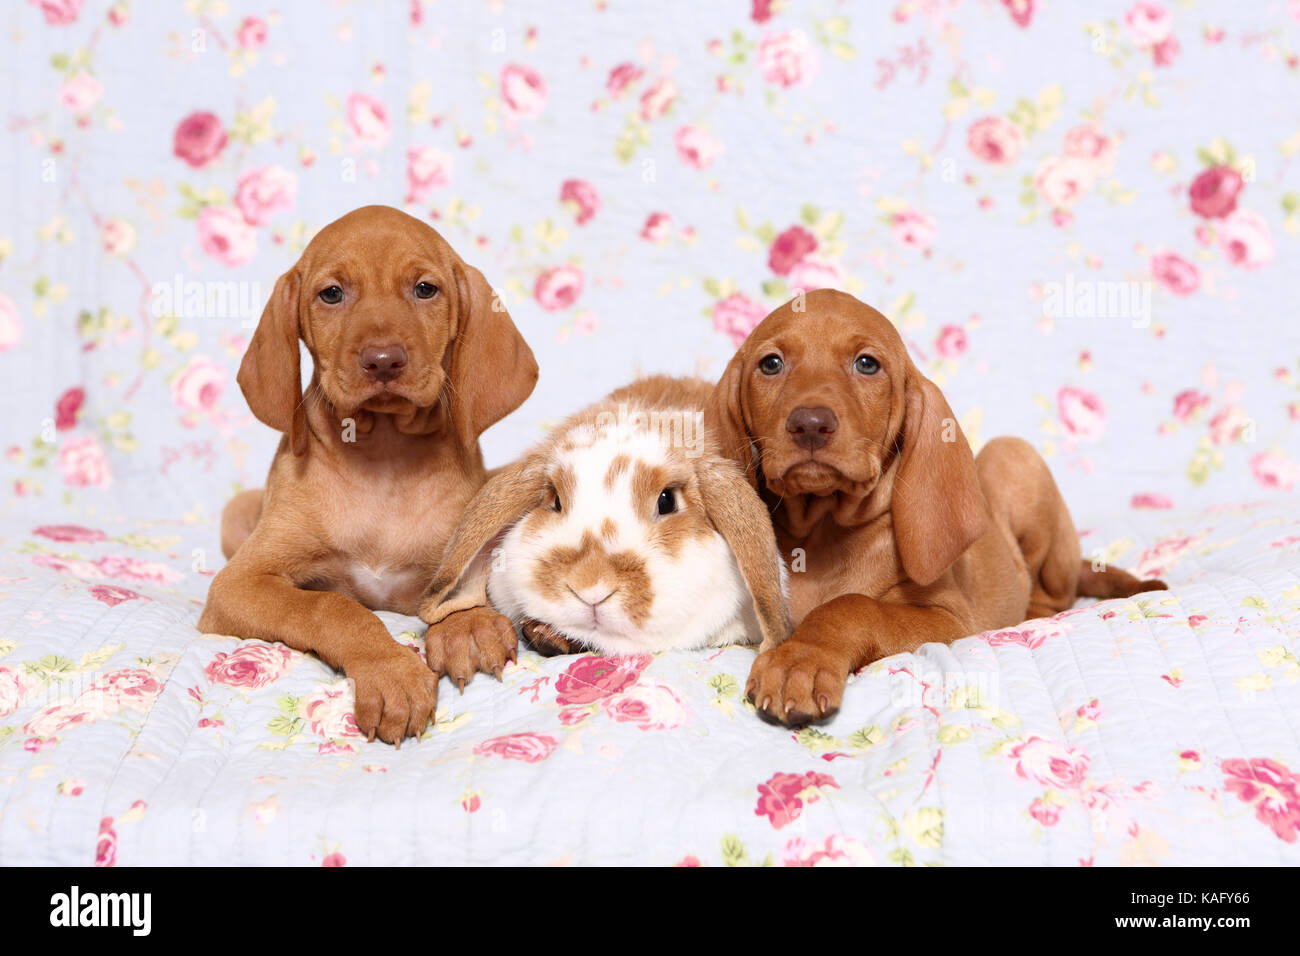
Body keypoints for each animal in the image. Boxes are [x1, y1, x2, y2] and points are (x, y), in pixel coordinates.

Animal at [197, 205, 533, 749]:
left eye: (425, 289)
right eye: (332, 293)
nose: (383, 360)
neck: (384, 457)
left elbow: (462, 580)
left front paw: (468, 624)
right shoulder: (238, 584)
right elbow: (331, 607)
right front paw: (391, 673)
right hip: (237, 510)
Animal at [707, 290, 1164, 723]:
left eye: (867, 364)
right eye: (771, 364)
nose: (811, 425)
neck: (821, 530)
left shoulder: (948, 618)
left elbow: (854, 606)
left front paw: (802, 658)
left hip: (1012, 456)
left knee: (1053, 595)